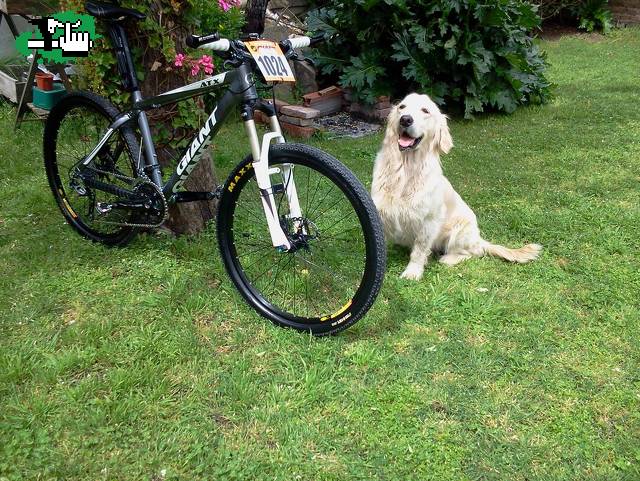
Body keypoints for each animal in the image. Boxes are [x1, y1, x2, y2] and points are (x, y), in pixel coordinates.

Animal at [370, 92, 540, 280]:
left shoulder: (429, 220)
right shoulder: (380, 212)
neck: (405, 170)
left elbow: (420, 249)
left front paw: (412, 272)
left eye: (425, 110)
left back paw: (448, 258)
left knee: (475, 252)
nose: (405, 119)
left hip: (460, 230)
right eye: (402, 107)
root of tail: (479, 240)